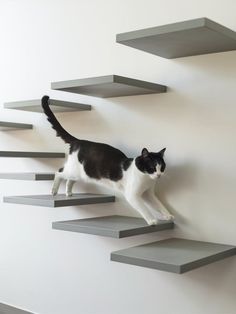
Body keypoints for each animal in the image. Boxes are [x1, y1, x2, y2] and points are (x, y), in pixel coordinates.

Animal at [41, 95, 173, 226]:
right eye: (152, 167)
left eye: (162, 167)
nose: (159, 175)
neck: (146, 179)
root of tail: (78, 141)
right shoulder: (132, 195)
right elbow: (143, 208)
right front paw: (152, 220)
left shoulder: (149, 194)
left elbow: (159, 205)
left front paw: (168, 215)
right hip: (72, 170)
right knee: (59, 172)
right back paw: (54, 191)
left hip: (81, 173)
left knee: (70, 180)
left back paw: (68, 192)